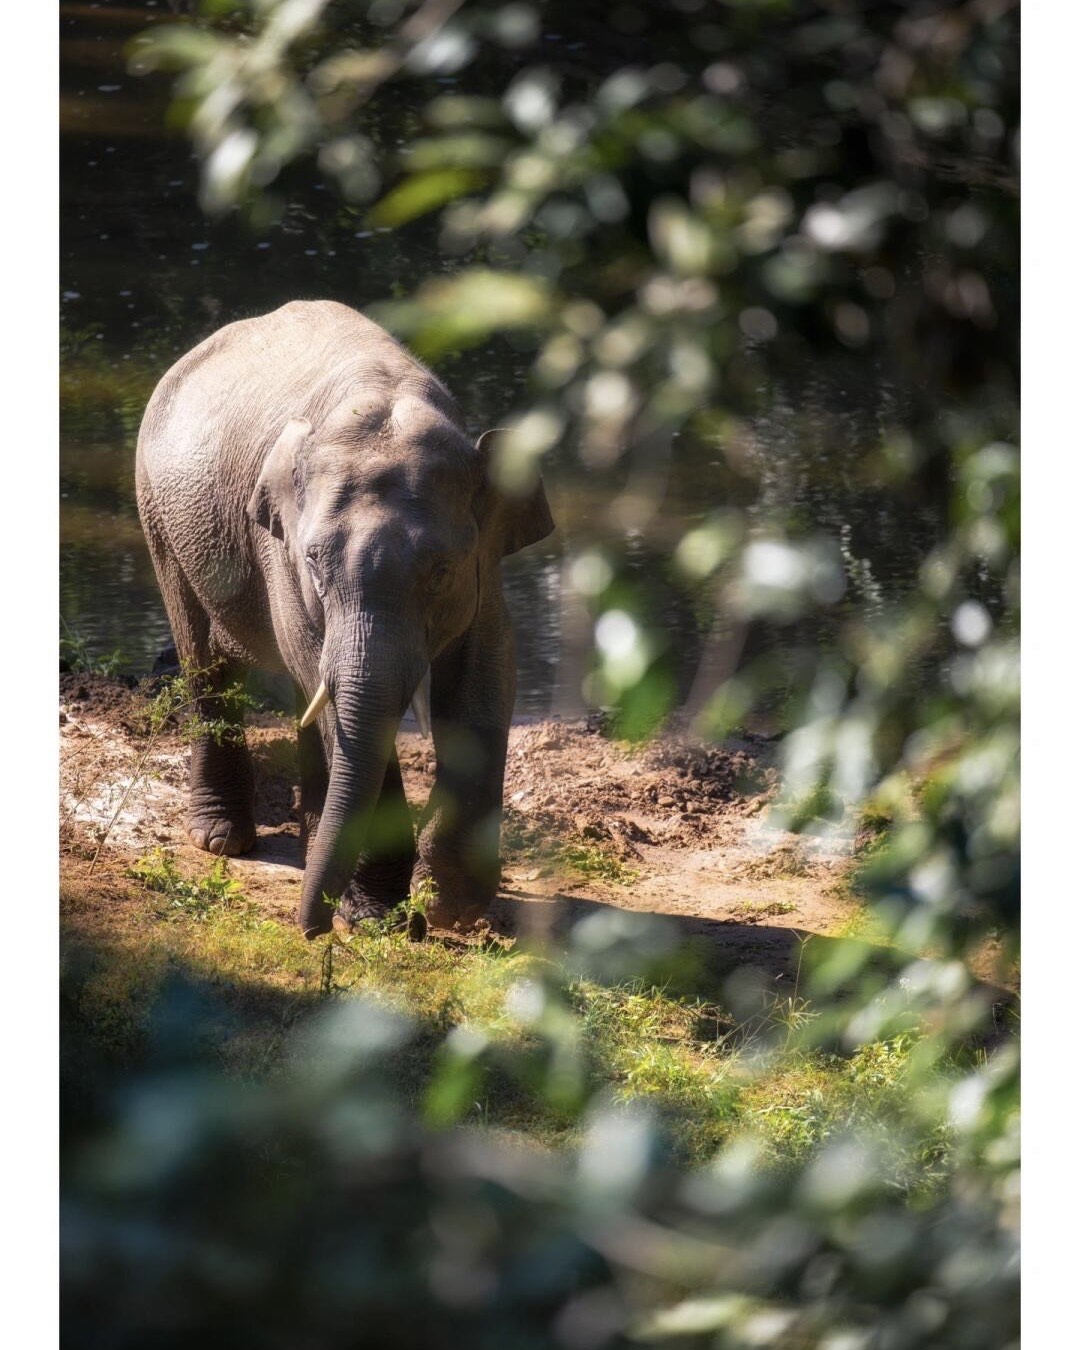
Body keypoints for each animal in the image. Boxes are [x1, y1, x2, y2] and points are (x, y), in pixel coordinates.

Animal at [135, 299, 554, 937]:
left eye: (439, 569)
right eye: (313, 561)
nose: (309, 931)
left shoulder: (485, 562)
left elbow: (486, 673)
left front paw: (449, 907)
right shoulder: (277, 550)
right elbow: (325, 680)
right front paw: (379, 917)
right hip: (159, 516)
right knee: (206, 658)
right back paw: (221, 840)